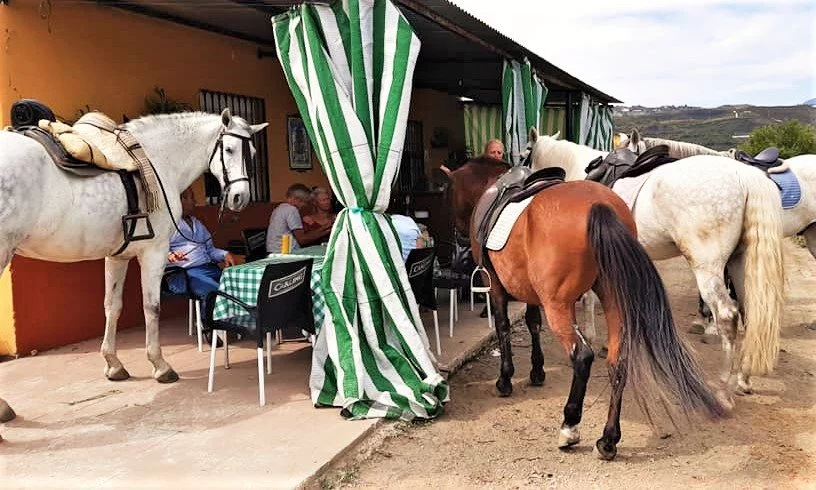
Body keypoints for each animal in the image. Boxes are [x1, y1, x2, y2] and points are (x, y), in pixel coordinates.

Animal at [0, 108, 264, 432]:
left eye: (252, 152)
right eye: (229, 149)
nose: (240, 198)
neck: (159, 158)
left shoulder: (117, 256)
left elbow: (112, 306)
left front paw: (113, 365)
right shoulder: (155, 251)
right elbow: (152, 307)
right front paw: (160, 366)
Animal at [444, 156, 728, 460]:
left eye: (448, 192)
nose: (457, 238)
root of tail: (598, 206)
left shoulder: (495, 286)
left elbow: (503, 327)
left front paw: (505, 379)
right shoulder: (530, 292)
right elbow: (532, 324)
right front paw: (537, 371)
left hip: (559, 306)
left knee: (582, 356)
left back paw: (569, 427)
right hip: (613, 299)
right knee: (618, 360)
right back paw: (608, 440)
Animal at [524, 127, 788, 394]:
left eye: (526, 153)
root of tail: (745, 176)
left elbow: (590, 299)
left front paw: (591, 337)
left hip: (708, 267)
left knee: (727, 315)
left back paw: (723, 386)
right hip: (739, 264)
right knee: (751, 312)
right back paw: (743, 378)